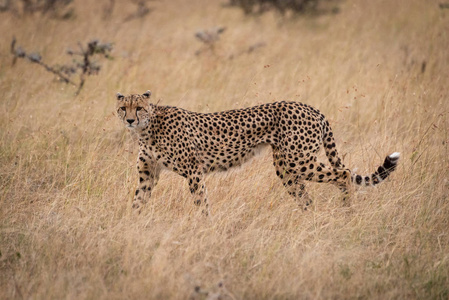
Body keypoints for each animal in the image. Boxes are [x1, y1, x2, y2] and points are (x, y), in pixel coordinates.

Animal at [115, 90, 400, 212]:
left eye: (138, 108)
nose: (128, 120)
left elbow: (201, 203)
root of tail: (311, 107)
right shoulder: (148, 174)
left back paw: (347, 211)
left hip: (299, 160)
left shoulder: (194, 172)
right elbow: (137, 202)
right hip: (286, 168)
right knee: (307, 196)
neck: (148, 127)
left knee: (344, 173)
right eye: (122, 107)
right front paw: (133, 225)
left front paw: (204, 226)